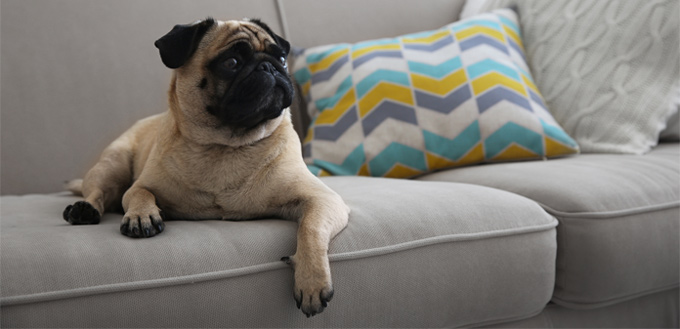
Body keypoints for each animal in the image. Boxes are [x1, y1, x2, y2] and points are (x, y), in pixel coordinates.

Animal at [62, 17, 350, 316]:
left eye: (282, 58)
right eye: (231, 63)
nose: (269, 66)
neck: (225, 146)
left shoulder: (321, 200)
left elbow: (310, 229)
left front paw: (312, 280)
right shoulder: (139, 186)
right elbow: (140, 193)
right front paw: (141, 215)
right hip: (113, 163)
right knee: (99, 193)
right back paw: (84, 210)